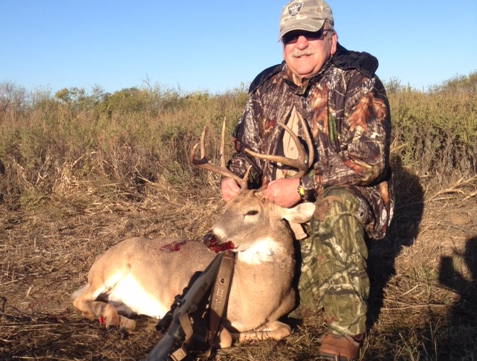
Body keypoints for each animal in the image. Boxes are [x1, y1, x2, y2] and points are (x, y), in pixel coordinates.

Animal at [71, 117, 316, 344]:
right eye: (226, 207)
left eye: (252, 211)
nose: (209, 236)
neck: (260, 298)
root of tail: (100, 260)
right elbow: (225, 337)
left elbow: (284, 328)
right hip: (107, 270)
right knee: (79, 298)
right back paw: (112, 321)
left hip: (121, 297)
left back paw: (120, 322)